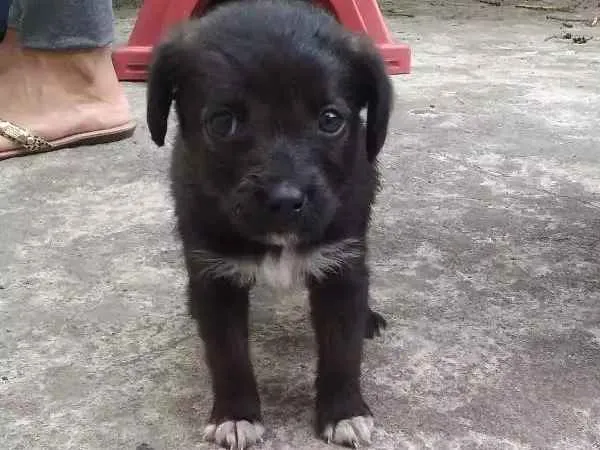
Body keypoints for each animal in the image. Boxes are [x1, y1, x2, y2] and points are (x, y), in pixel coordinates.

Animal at [146, 0, 394, 446]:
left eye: (330, 120)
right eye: (222, 122)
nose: (285, 200)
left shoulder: (342, 263)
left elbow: (343, 348)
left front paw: (344, 411)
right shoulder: (215, 274)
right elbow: (227, 354)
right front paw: (236, 415)